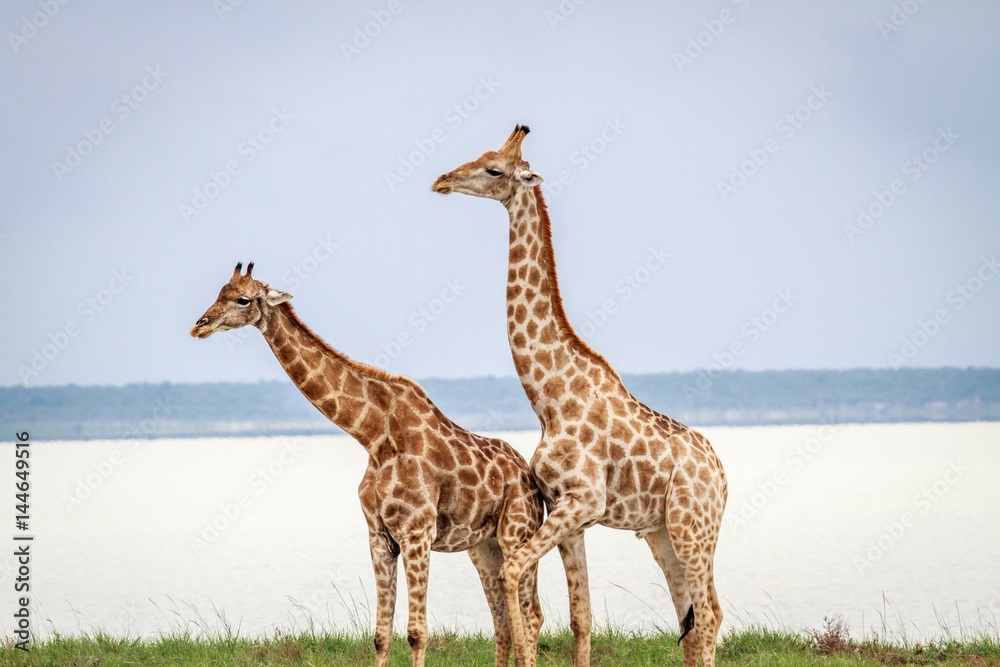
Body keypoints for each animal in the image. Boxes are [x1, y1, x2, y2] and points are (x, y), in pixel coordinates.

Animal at [190, 262, 545, 667]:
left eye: (243, 299)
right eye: (220, 291)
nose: (200, 325)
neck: (374, 437)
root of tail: (532, 479)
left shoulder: (416, 534)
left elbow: (417, 633)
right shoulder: (379, 537)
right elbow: (380, 635)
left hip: (517, 532)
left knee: (531, 616)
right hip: (484, 546)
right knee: (502, 618)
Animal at [432, 126, 728, 667]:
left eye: (494, 169)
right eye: (481, 155)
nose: (442, 180)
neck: (549, 399)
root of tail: (720, 474)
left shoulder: (583, 500)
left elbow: (512, 574)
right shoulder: (572, 515)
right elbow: (581, 617)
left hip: (693, 524)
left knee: (712, 614)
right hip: (662, 531)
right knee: (693, 620)